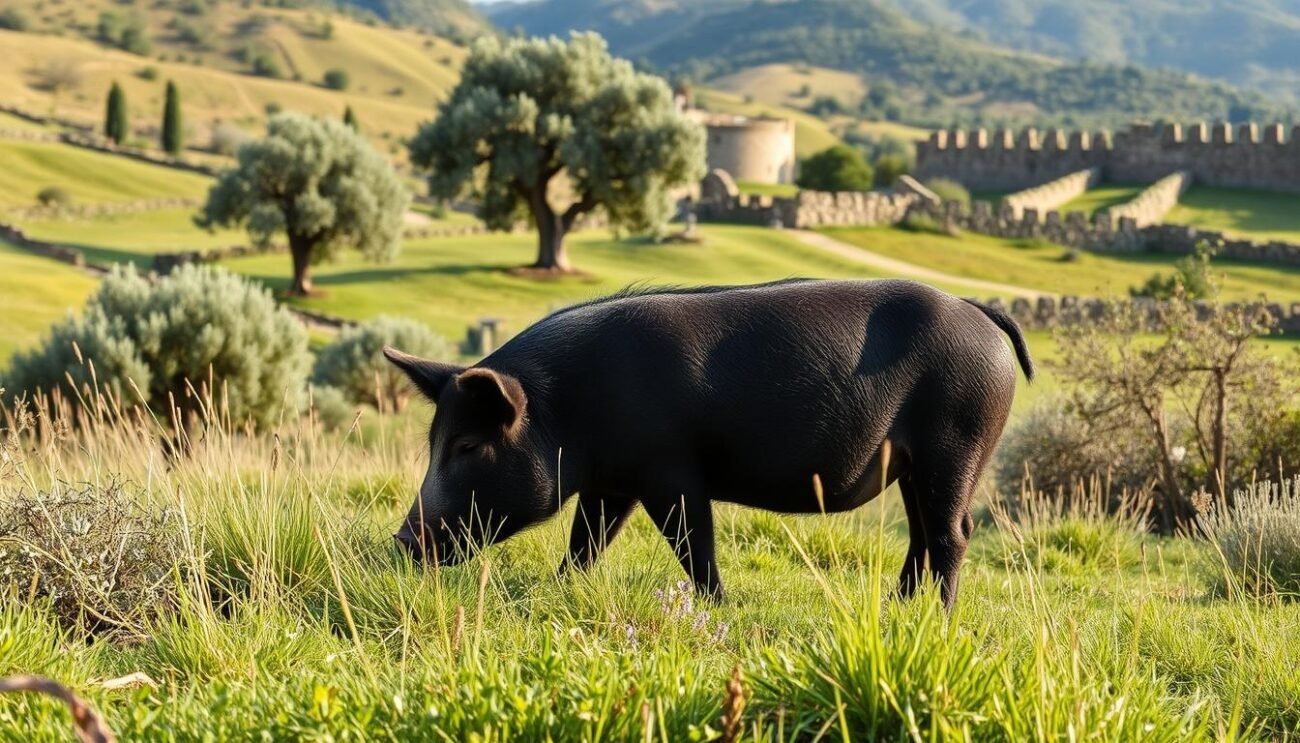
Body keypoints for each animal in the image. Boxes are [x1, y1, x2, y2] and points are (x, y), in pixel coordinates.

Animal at [384, 277, 1034, 610]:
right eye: (434, 440)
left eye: (469, 446)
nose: (402, 542)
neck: (567, 408)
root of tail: (980, 314)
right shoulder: (610, 482)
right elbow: (586, 542)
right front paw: (558, 588)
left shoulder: (670, 471)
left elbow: (693, 542)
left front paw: (717, 607)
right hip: (916, 465)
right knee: (922, 533)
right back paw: (898, 608)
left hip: (959, 438)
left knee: (952, 532)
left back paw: (936, 617)